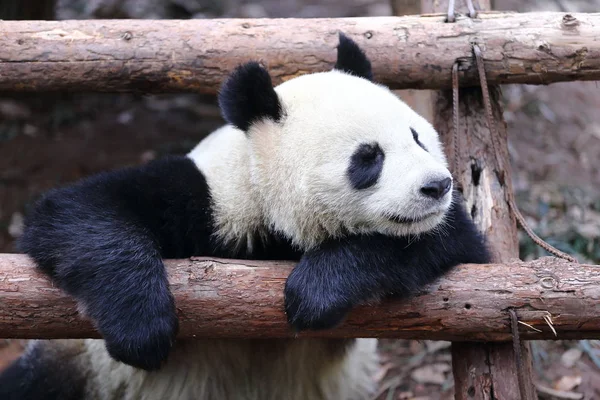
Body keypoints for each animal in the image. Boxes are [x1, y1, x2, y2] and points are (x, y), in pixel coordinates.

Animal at [0, 32, 490, 398]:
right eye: (368, 157)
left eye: (417, 137)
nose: (437, 186)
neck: (276, 219)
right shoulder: (210, 199)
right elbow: (79, 211)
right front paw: (141, 326)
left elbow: (456, 248)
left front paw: (317, 291)